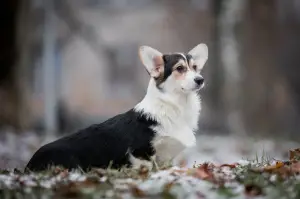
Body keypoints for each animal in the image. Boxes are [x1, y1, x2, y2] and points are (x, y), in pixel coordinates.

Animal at [24, 43, 209, 171]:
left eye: (195, 68)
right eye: (180, 68)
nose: (200, 79)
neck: (174, 106)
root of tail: (29, 165)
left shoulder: (166, 158)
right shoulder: (141, 153)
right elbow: (146, 167)